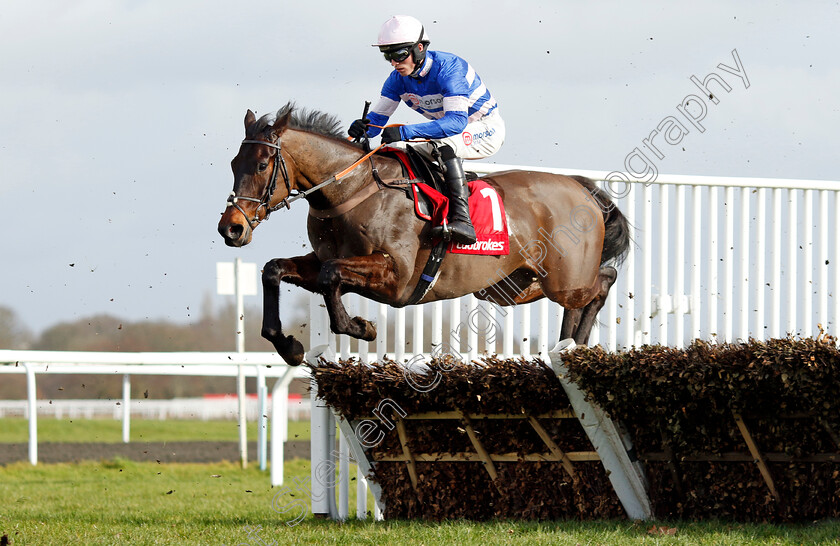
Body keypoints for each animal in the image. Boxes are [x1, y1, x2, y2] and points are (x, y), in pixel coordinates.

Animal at [218, 103, 632, 364]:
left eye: (261, 164)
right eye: (234, 163)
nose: (231, 228)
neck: (350, 191)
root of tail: (581, 188)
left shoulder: (396, 277)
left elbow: (330, 276)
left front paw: (360, 327)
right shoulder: (327, 259)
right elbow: (276, 269)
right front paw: (288, 346)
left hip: (565, 280)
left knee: (602, 280)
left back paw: (574, 345)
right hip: (512, 286)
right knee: (585, 290)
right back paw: (568, 344)